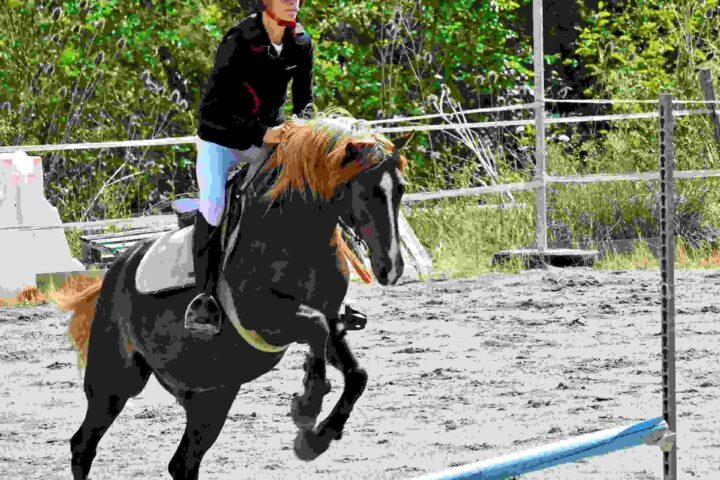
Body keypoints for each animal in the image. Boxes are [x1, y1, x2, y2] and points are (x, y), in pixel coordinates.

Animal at [55, 113, 408, 480]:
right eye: (366, 191)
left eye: (400, 189)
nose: (391, 268)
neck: (298, 233)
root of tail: (117, 269)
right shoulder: (264, 319)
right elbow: (315, 328)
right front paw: (307, 406)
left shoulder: (331, 320)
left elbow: (355, 373)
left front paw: (315, 439)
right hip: (115, 382)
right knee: (83, 444)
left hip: (213, 394)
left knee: (182, 463)